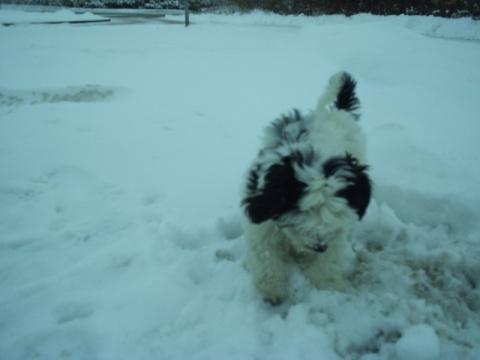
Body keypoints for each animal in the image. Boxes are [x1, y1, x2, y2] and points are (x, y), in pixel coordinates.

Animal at [240, 71, 372, 304]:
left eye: (328, 225)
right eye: (299, 223)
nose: (319, 247)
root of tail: (336, 112)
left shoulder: (338, 229)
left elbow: (329, 258)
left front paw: (330, 286)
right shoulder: (261, 222)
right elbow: (266, 254)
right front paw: (272, 289)